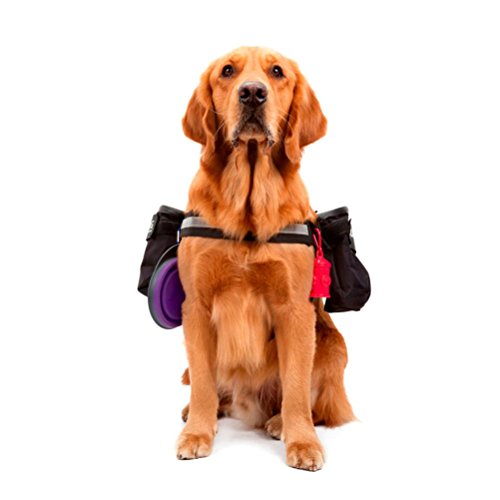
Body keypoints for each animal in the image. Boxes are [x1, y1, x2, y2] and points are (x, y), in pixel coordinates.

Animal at [176, 47, 354, 471]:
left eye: (277, 72)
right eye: (227, 71)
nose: (253, 93)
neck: (248, 201)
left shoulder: (295, 309)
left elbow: (296, 386)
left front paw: (301, 441)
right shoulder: (196, 306)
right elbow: (204, 383)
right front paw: (197, 433)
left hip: (333, 343)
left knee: (313, 402)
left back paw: (278, 422)